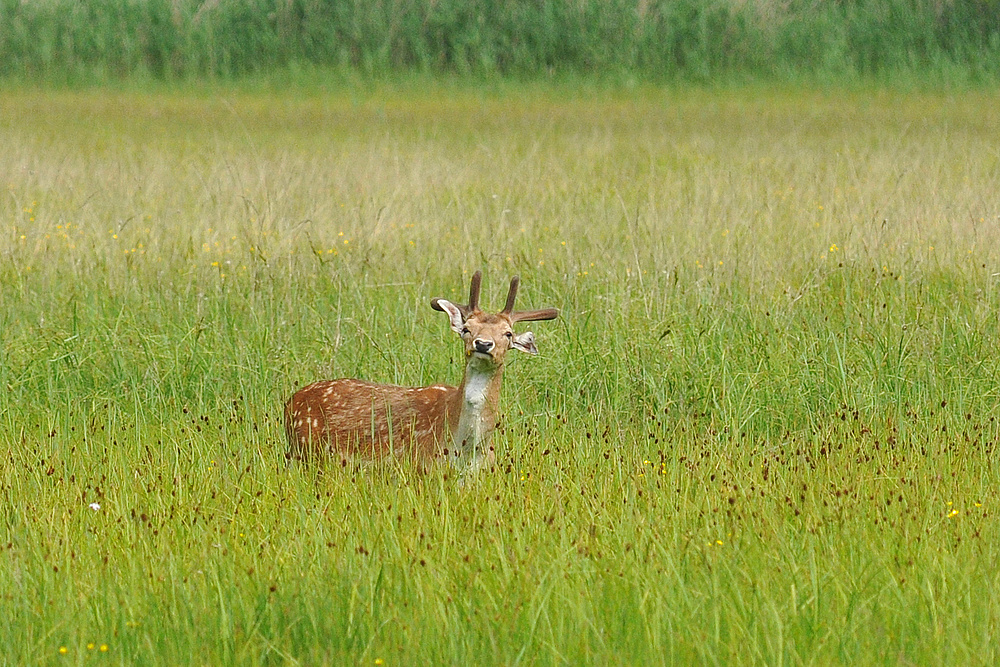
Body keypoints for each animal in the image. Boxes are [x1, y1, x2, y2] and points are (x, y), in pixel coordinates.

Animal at [286, 272, 560, 474]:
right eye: (467, 329)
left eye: (508, 334)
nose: (483, 344)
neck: (466, 451)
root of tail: (291, 401)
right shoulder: (419, 469)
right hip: (306, 454)